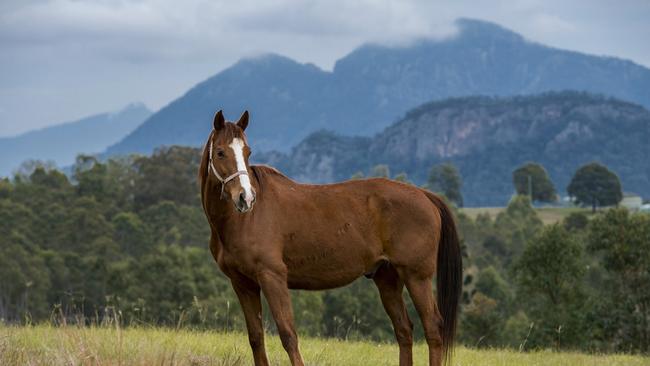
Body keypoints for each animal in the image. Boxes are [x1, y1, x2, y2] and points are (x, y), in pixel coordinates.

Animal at [200, 110, 464, 364]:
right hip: (387, 278)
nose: (246, 197)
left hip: (416, 276)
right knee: (404, 330)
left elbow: (288, 335)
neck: (244, 220)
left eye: (247, 152)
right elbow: (256, 338)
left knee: (432, 329)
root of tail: (425, 195)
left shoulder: (272, 277)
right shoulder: (244, 284)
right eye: (221, 152)